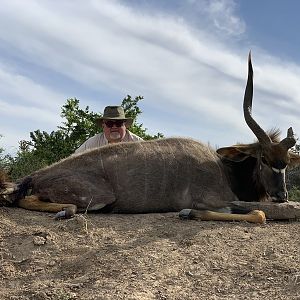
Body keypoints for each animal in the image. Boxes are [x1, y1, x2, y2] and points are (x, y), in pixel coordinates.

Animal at [0, 54, 300, 223]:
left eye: (285, 162)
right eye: (263, 159)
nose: (281, 195)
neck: (224, 169)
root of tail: (36, 175)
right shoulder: (212, 200)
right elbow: (260, 213)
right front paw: (187, 213)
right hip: (99, 198)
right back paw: (65, 211)